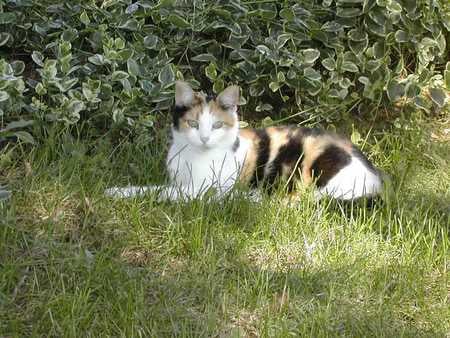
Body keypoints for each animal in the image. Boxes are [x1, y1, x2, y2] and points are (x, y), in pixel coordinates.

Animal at [103, 81, 382, 201]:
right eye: (193, 124)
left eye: (217, 125)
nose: (204, 138)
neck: (191, 155)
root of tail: (376, 180)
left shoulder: (200, 189)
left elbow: (160, 191)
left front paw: (117, 193)